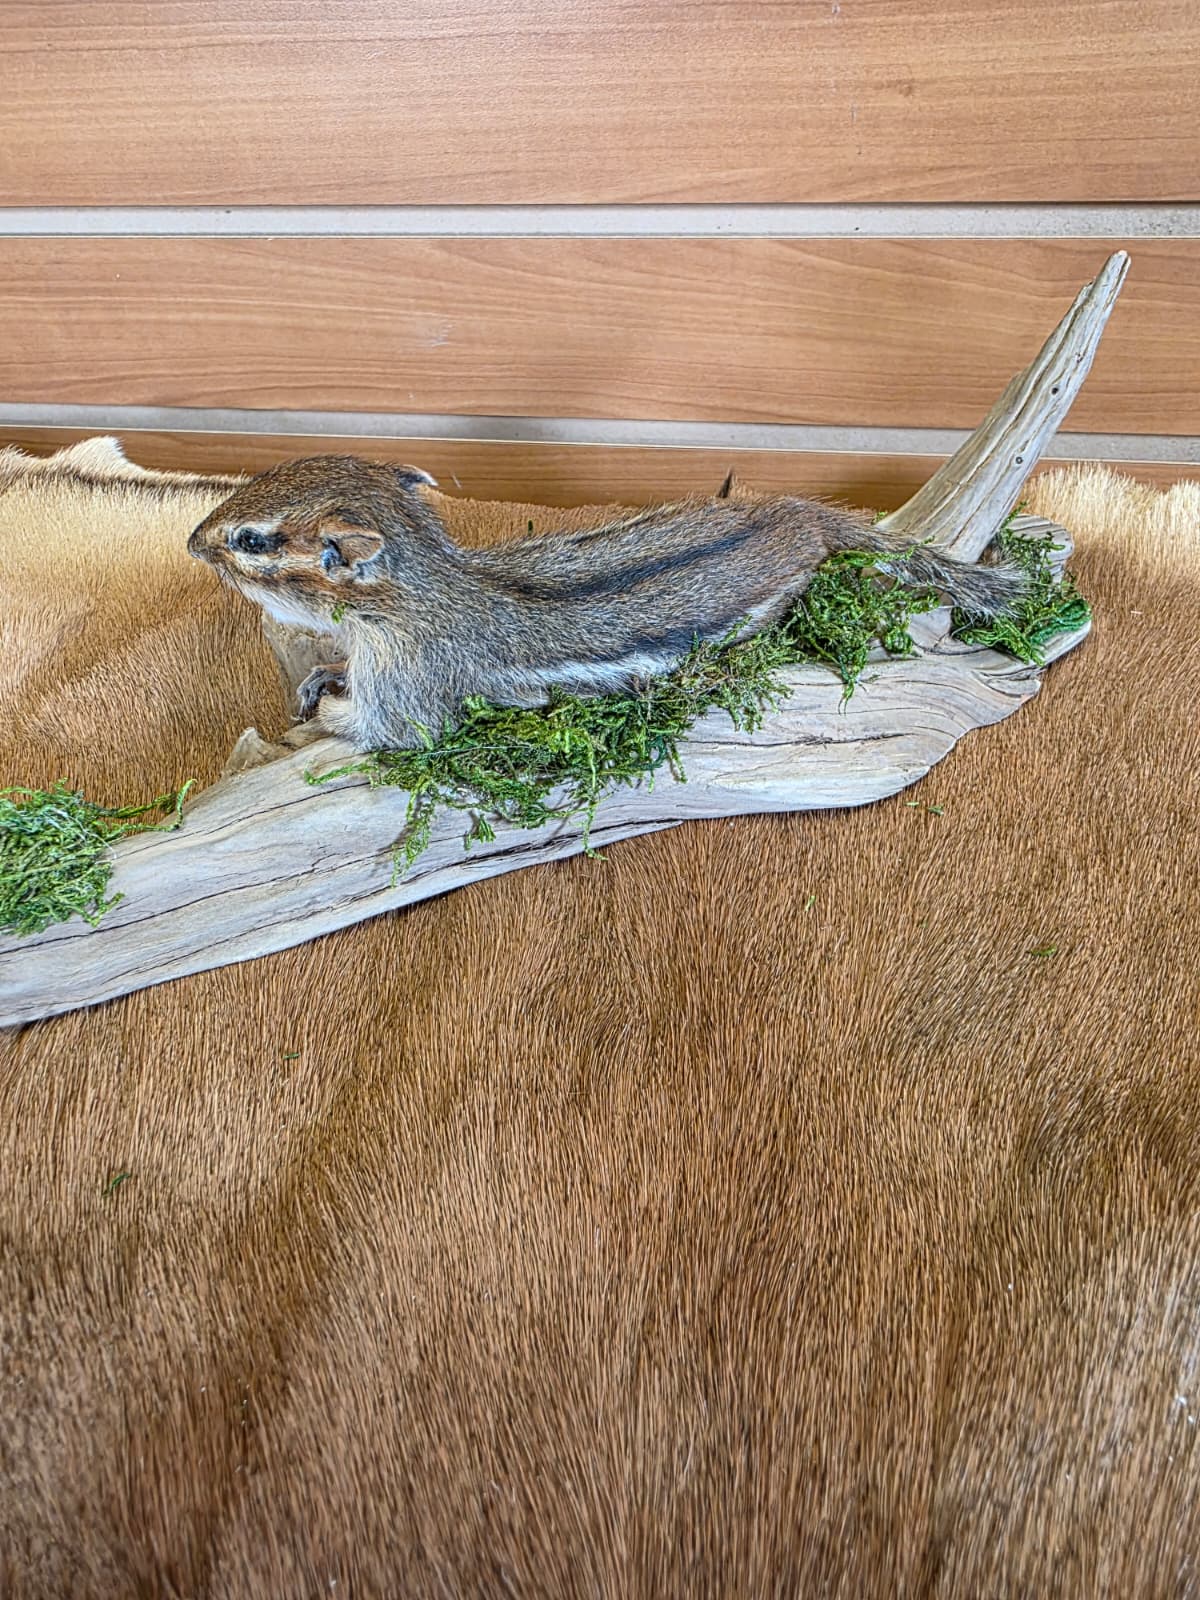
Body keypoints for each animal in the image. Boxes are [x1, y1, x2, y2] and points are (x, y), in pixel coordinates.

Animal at [188, 454, 1028, 752]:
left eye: (253, 540)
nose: (193, 541)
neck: (425, 594)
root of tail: (799, 517)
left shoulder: (411, 681)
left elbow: (387, 731)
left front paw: (325, 714)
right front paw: (318, 676)